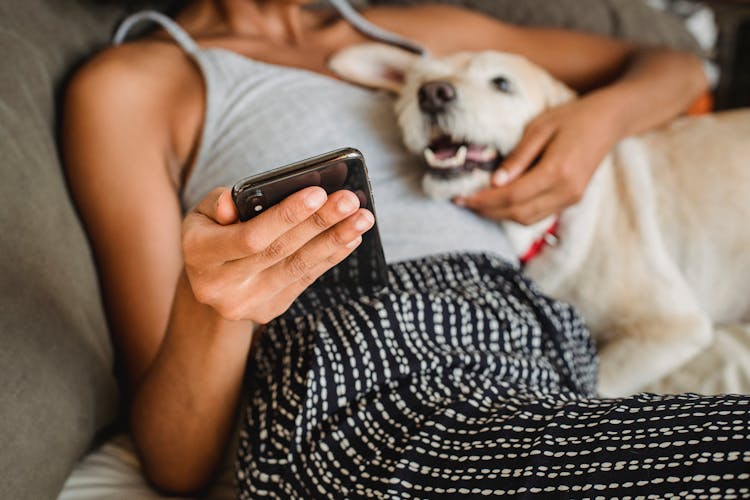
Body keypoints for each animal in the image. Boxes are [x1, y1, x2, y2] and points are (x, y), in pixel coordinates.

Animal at [332, 43, 750, 396]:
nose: (432, 93)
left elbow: (598, 387)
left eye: (502, 83)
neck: (545, 229)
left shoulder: (672, 326)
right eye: (419, 82)